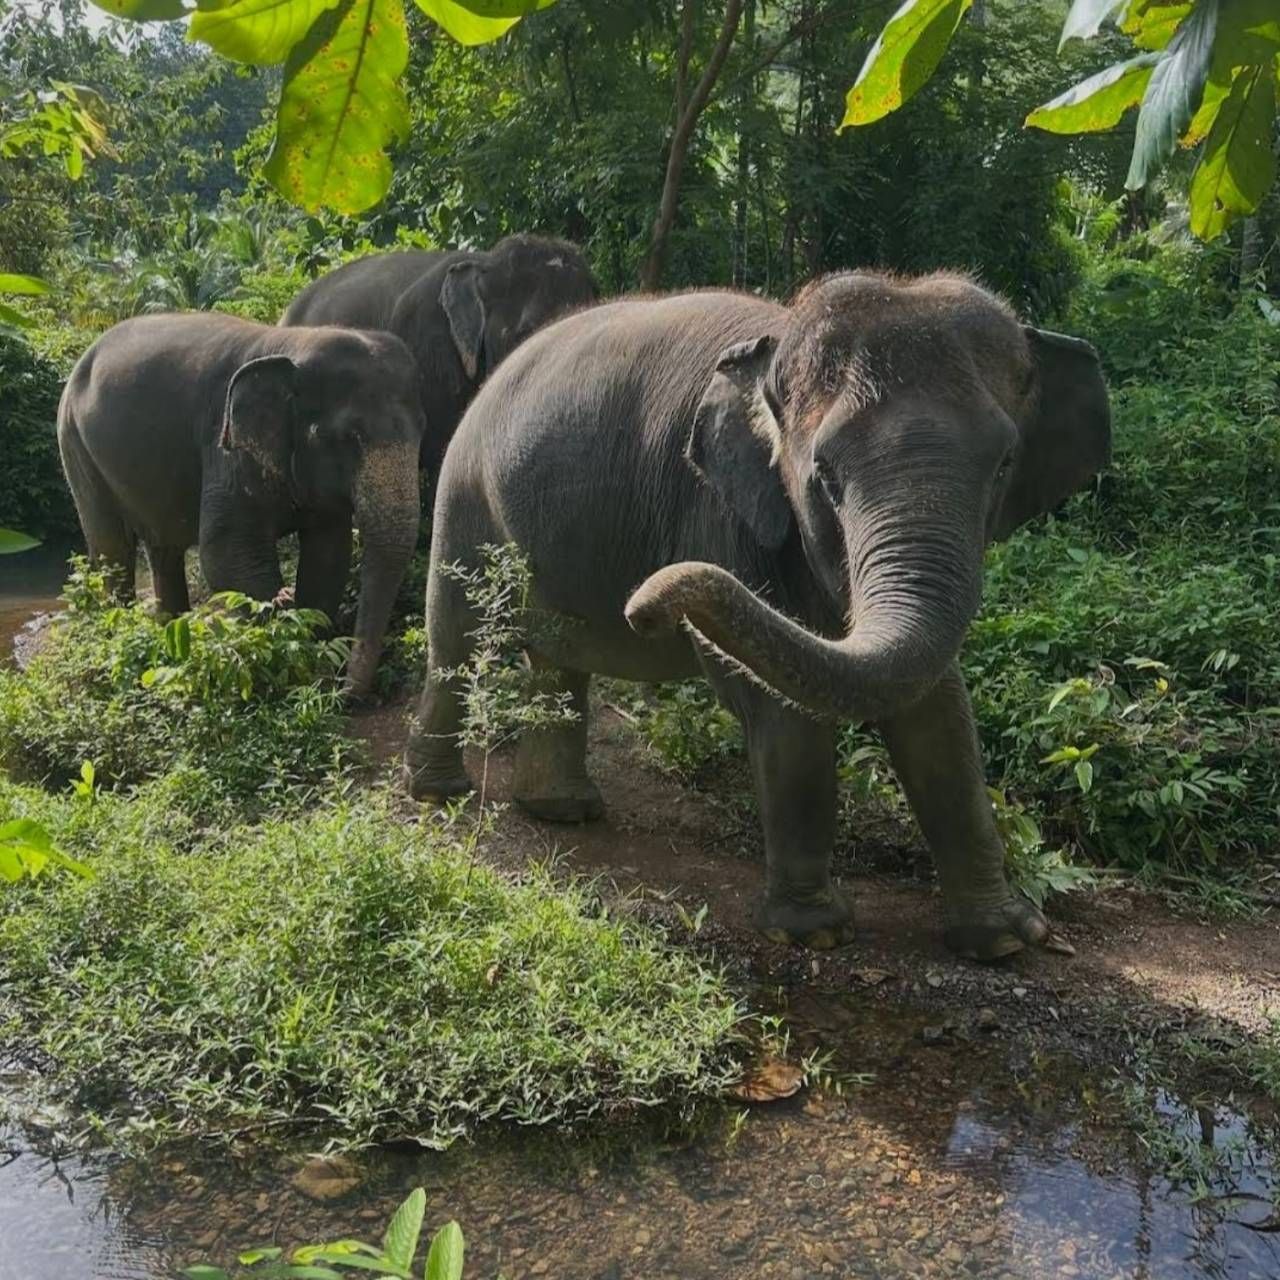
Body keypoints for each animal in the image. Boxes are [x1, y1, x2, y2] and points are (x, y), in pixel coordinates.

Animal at [57, 313, 424, 698]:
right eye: (348, 438)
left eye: (423, 429)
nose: (345, 693)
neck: (294, 345)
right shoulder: (226, 448)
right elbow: (228, 555)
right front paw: (291, 666)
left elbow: (328, 555)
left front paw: (313, 664)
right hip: (75, 443)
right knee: (112, 550)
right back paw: (123, 635)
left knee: (163, 549)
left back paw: (170, 633)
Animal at [403, 271, 1111, 962]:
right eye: (825, 476)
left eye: (1005, 464)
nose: (641, 607)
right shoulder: (718, 512)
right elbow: (777, 707)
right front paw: (812, 933)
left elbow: (938, 710)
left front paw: (1008, 938)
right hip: (464, 492)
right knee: (456, 636)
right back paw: (439, 794)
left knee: (557, 658)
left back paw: (562, 810)